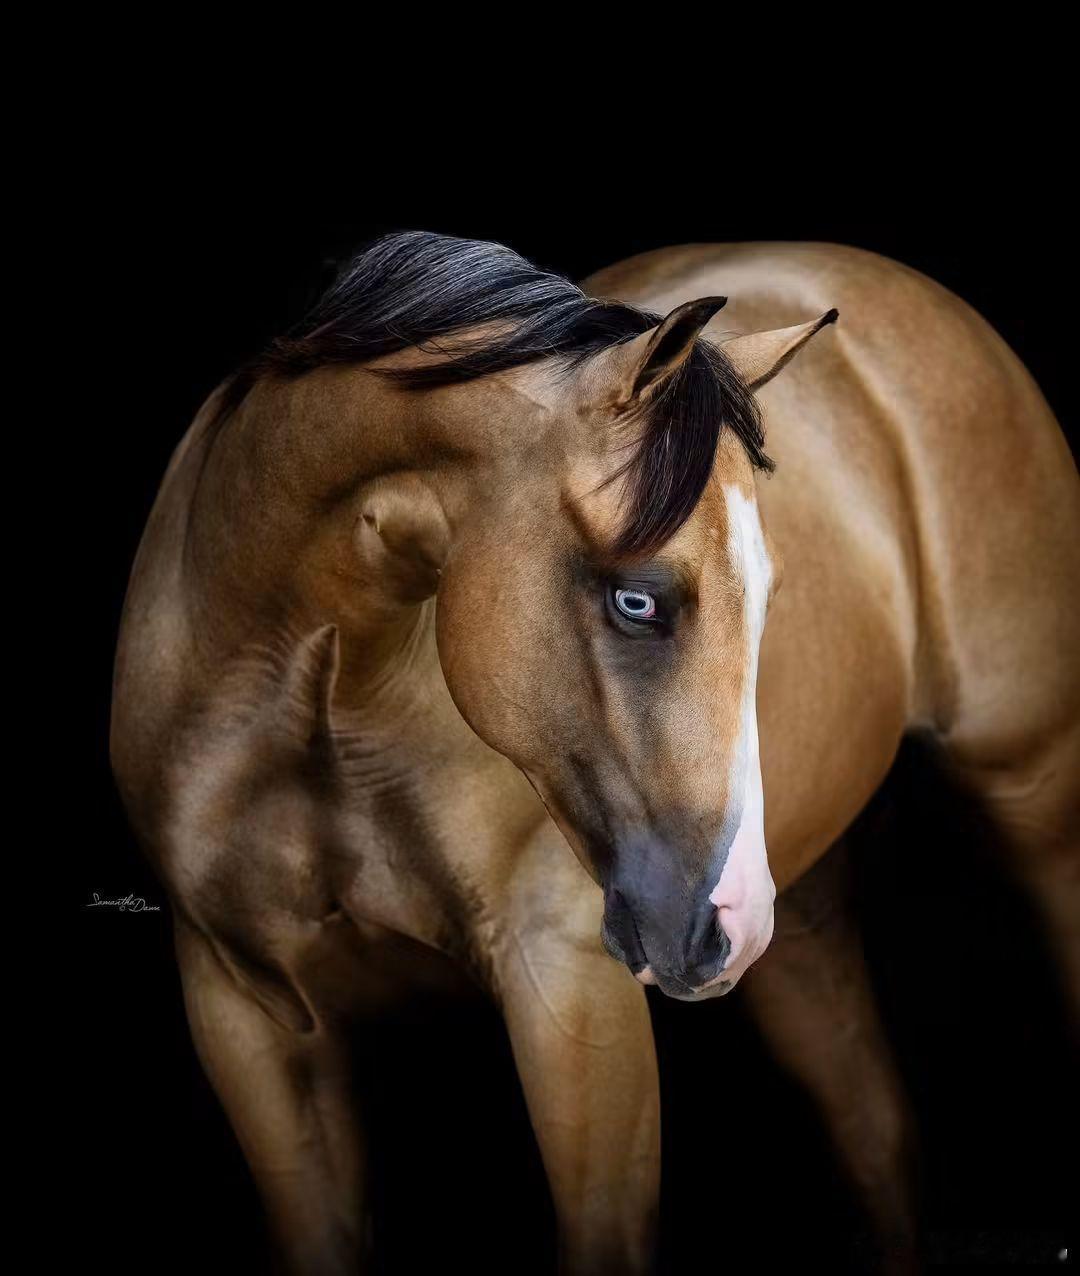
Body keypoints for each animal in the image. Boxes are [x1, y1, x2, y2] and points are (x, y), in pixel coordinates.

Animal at [111, 231, 1079, 1274]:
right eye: (638, 599)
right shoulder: (244, 1015)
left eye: (767, 597)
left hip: (1034, 793)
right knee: (878, 1137)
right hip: (804, 917)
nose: (726, 917)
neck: (317, 698)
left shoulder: (568, 992)